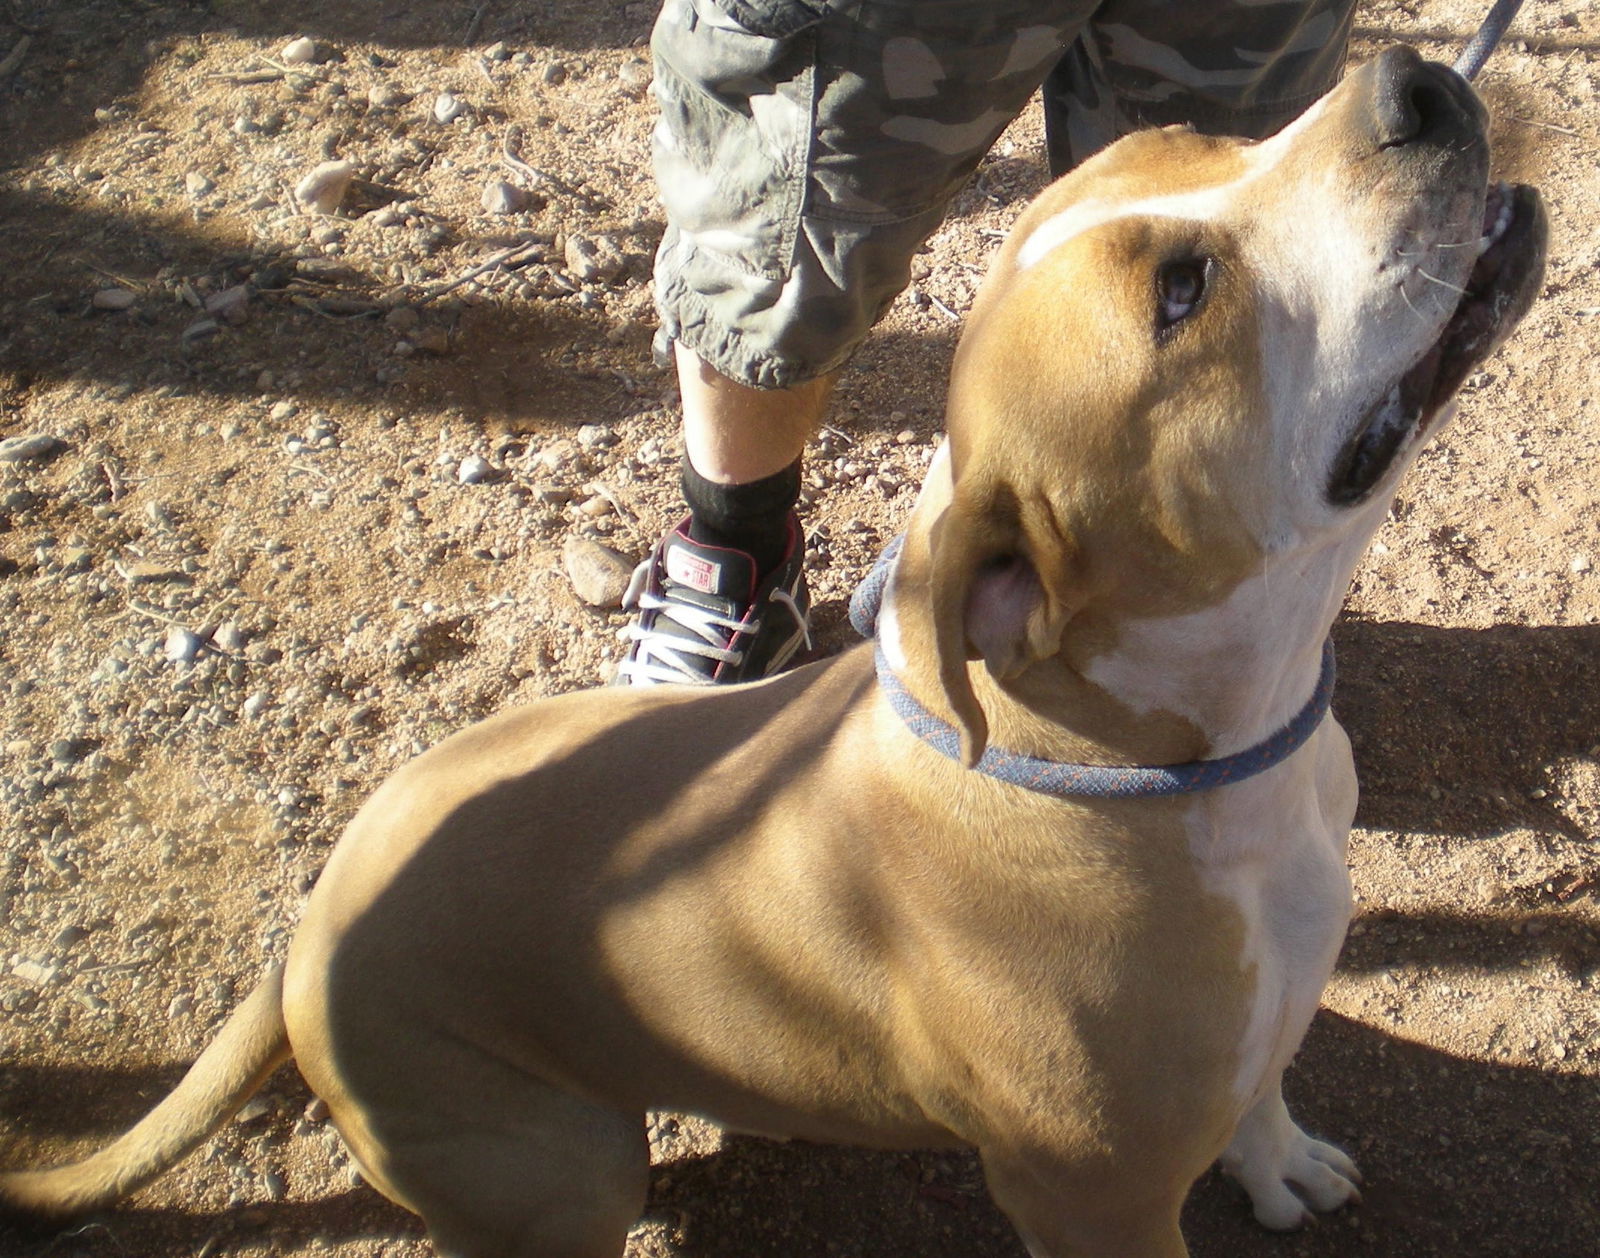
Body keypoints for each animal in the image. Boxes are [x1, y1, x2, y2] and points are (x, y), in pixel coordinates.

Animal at [0, 44, 1548, 1254]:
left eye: (1214, 143)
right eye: (1181, 293)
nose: (1414, 78)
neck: (1180, 763)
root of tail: (307, 932)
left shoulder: (1261, 1008)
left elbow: (1268, 1082)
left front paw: (1278, 1161)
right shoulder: (1091, 1202)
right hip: (567, 1170)